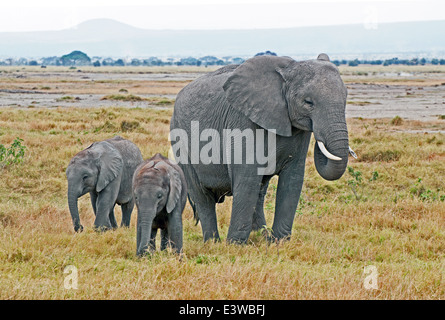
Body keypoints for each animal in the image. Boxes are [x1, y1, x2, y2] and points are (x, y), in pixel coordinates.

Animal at [169, 53, 354, 244]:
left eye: (346, 98)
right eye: (308, 102)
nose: (320, 140)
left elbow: (292, 178)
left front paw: (278, 243)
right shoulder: (242, 119)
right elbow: (247, 176)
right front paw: (235, 245)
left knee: (259, 191)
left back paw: (260, 235)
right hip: (180, 141)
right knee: (203, 197)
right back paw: (214, 243)